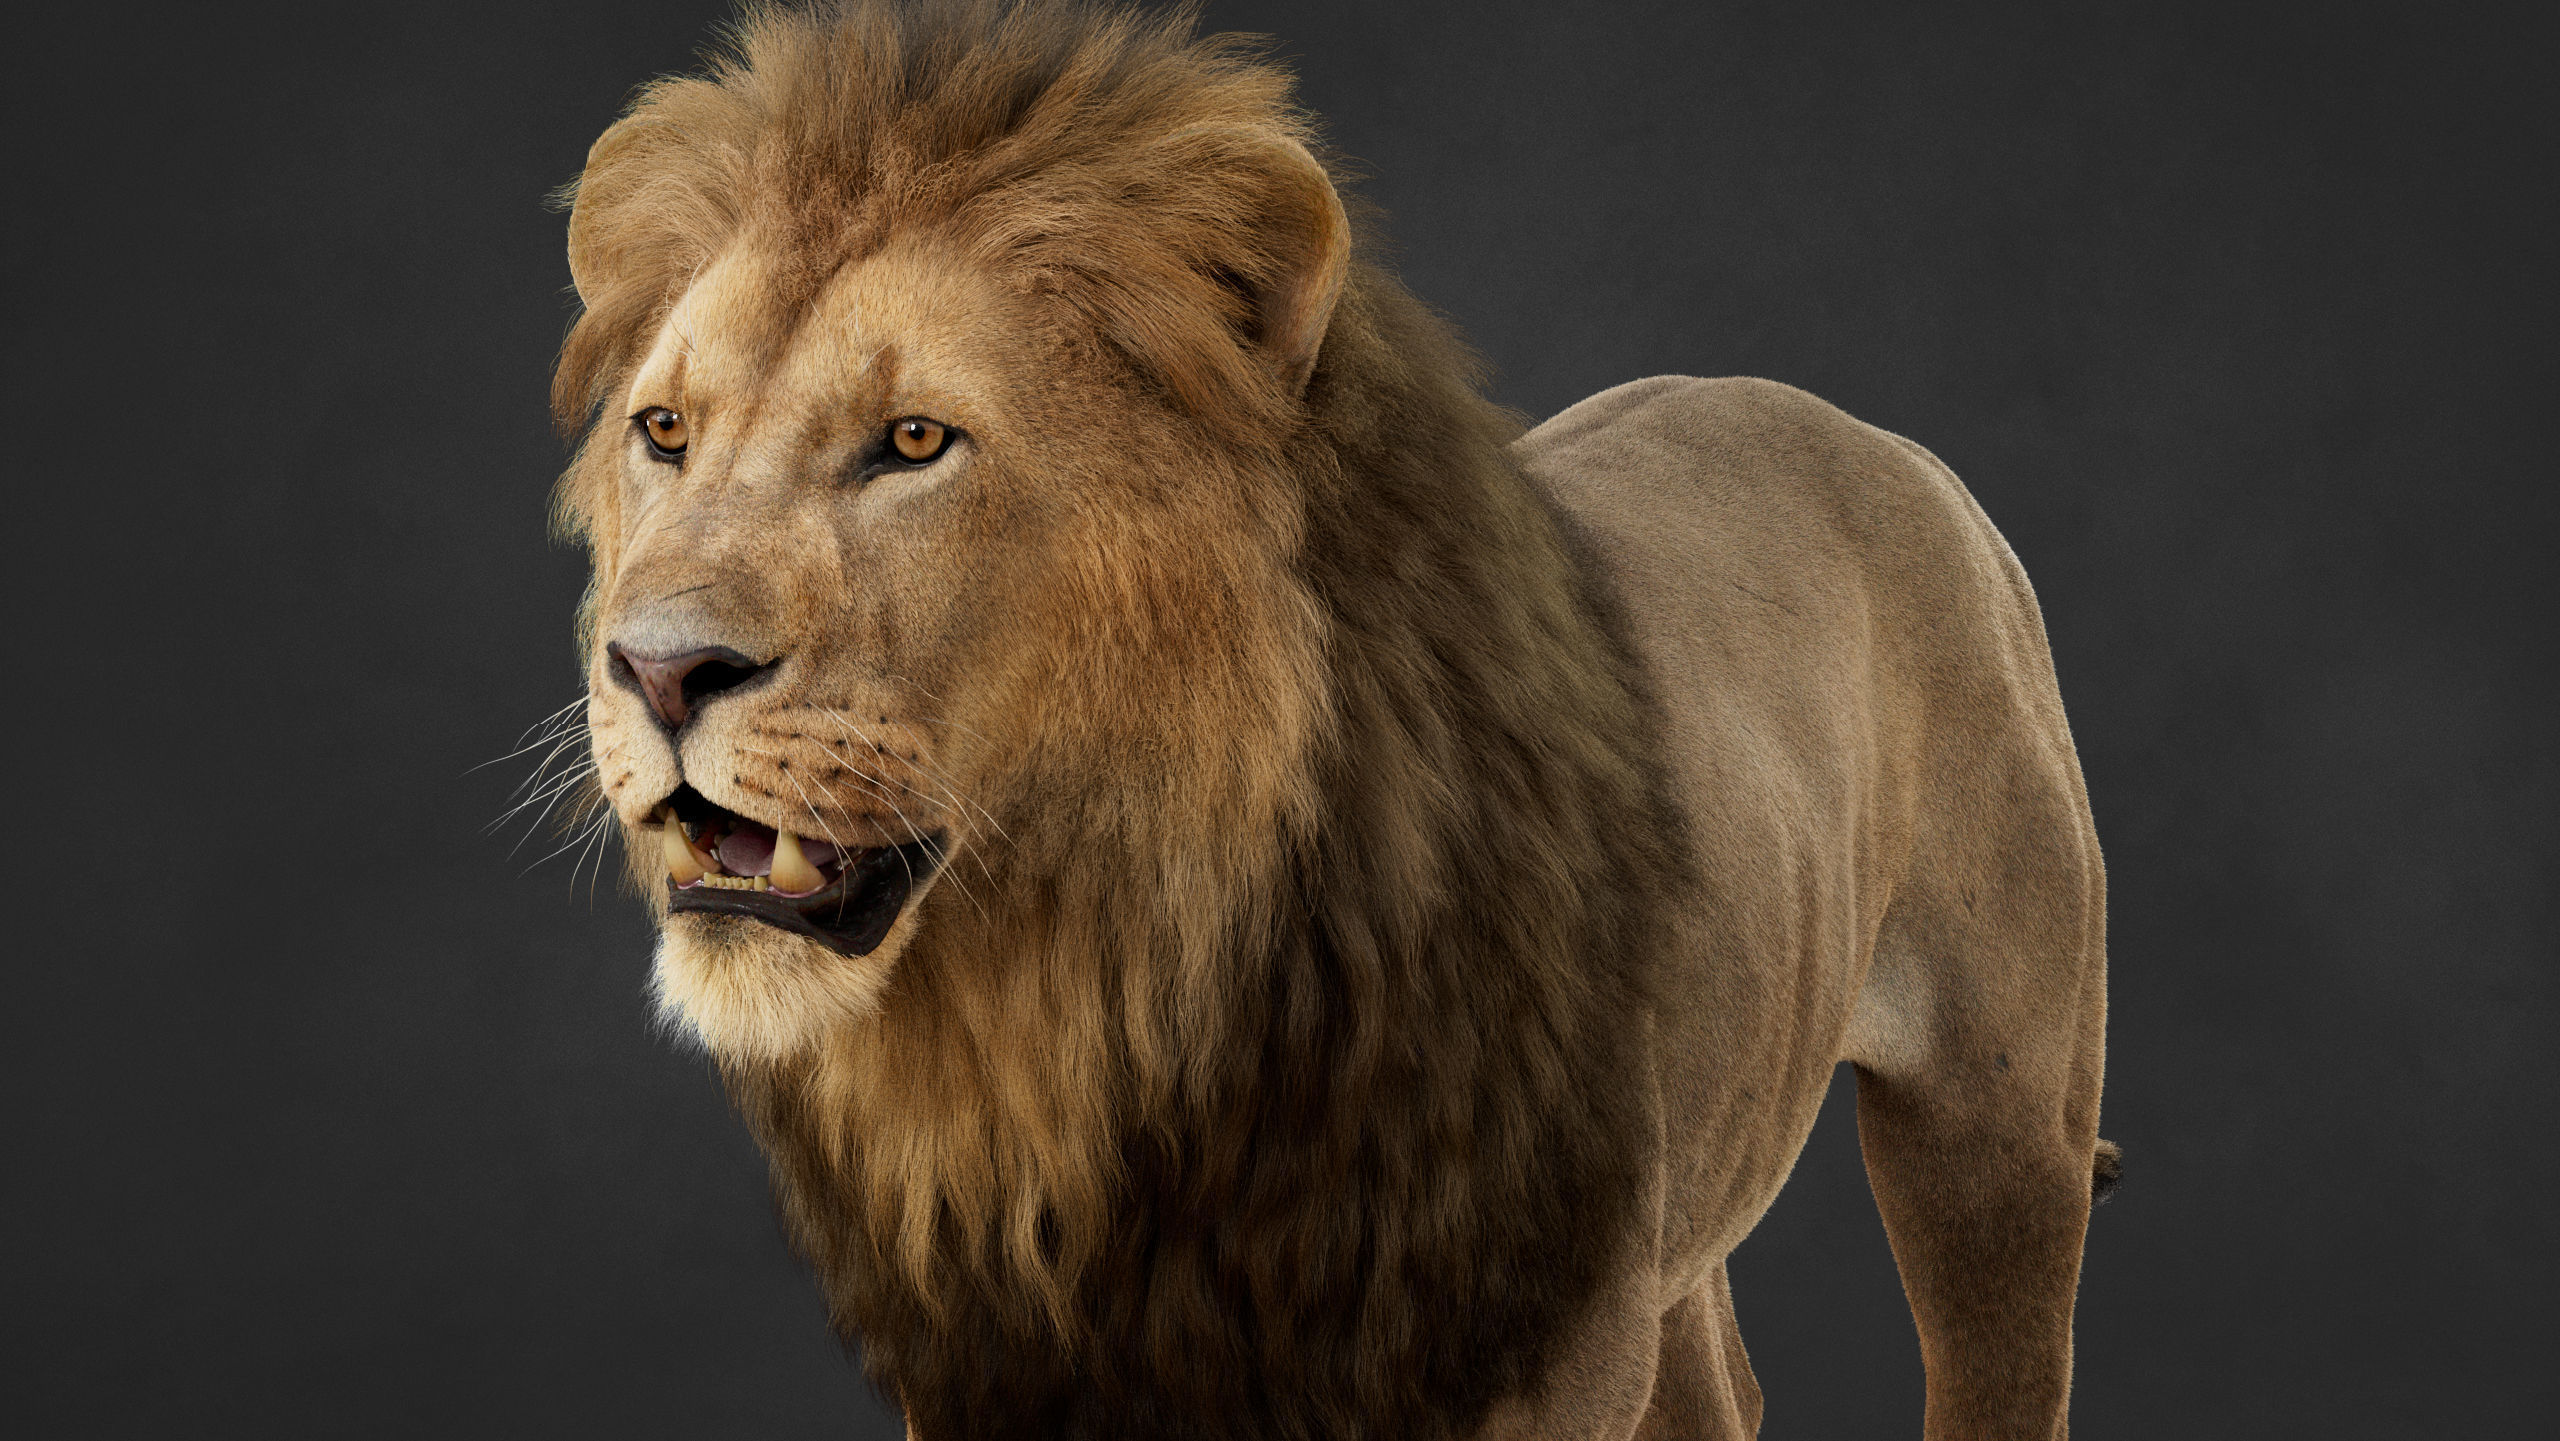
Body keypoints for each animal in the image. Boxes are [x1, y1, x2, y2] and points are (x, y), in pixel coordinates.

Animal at [549, 3, 2113, 1437]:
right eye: (665, 431)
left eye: (916, 441)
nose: (660, 669)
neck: (1097, 1004)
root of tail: (1878, 440)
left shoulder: (1531, 1334)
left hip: (2000, 1121)